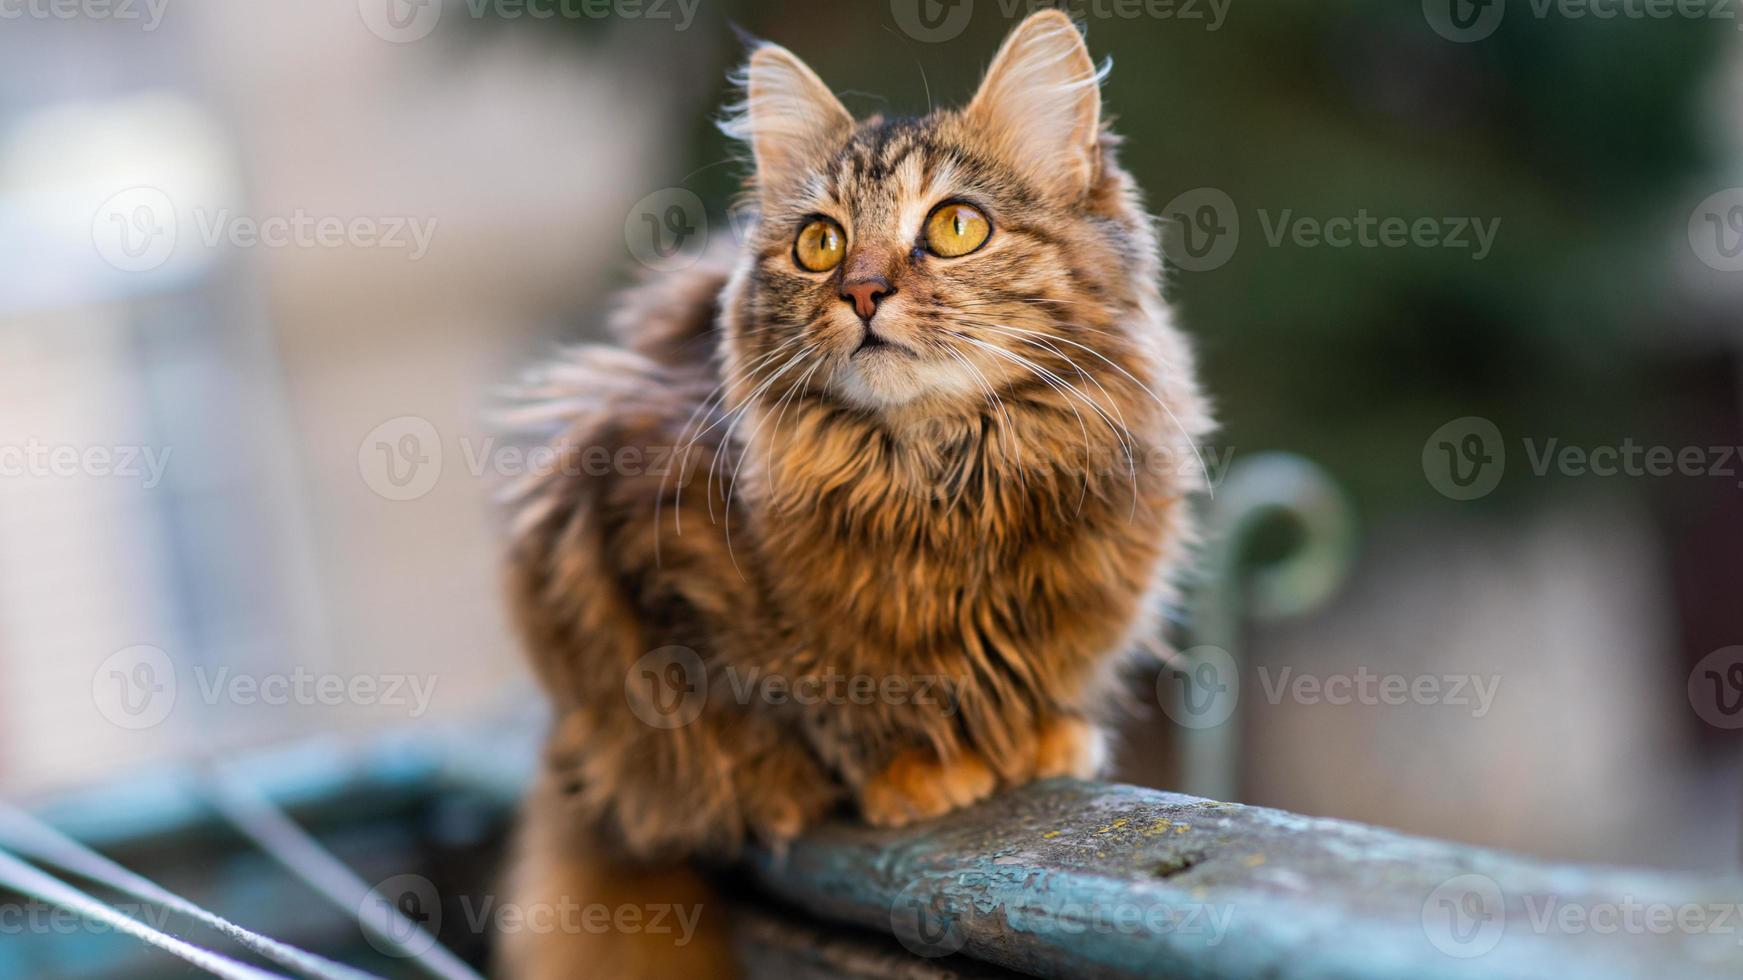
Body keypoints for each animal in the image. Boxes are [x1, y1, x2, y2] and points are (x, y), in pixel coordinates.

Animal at [505, 11, 1213, 969]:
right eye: (821, 243)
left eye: (956, 227)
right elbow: (816, 706)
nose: (863, 290)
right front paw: (912, 771)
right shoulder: (641, 557)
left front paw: (1039, 738)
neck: (947, 475)